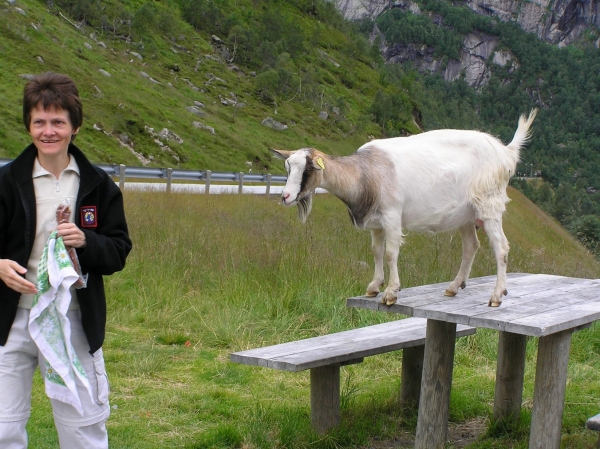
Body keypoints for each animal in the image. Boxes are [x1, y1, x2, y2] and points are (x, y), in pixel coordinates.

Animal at [272, 109, 540, 306]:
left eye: (308, 168)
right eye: (287, 167)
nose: (285, 196)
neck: (366, 174)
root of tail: (504, 152)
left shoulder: (392, 215)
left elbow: (391, 253)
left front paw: (391, 292)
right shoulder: (376, 223)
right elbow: (376, 252)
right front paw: (374, 286)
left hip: (489, 204)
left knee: (501, 247)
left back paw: (496, 296)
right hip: (466, 214)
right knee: (471, 247)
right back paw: (454, 286)